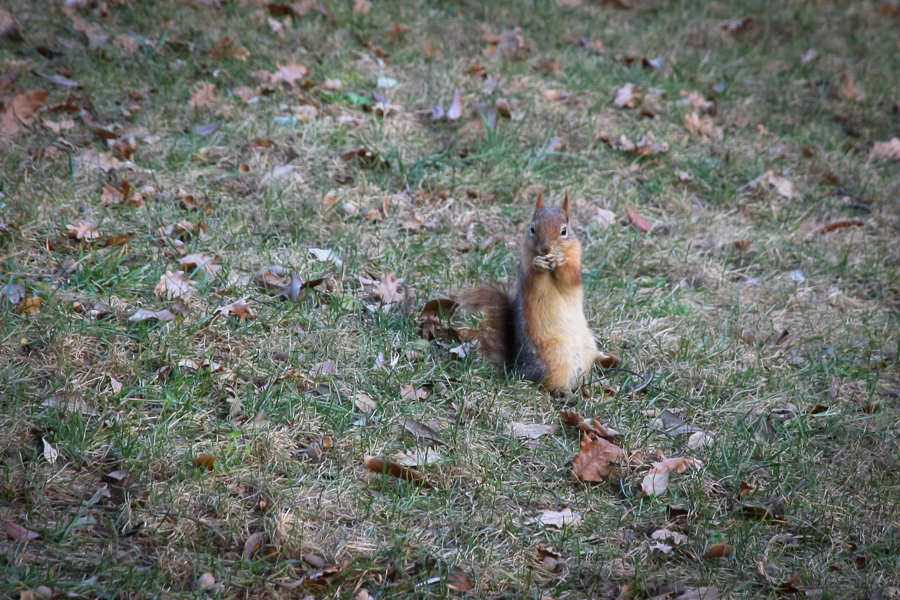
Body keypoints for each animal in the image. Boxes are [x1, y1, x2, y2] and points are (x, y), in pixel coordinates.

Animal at [464, 190, 596, 392]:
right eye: (532, 229)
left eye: (564, 231)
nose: (546, 248)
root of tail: (518, 369)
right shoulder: (526, 267)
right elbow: (535, 283)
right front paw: (538, 264)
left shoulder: (575, 257)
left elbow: (570, 277)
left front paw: (560, 260)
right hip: (557, 355)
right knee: (547, 383)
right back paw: (564, 392)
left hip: (587, 350)